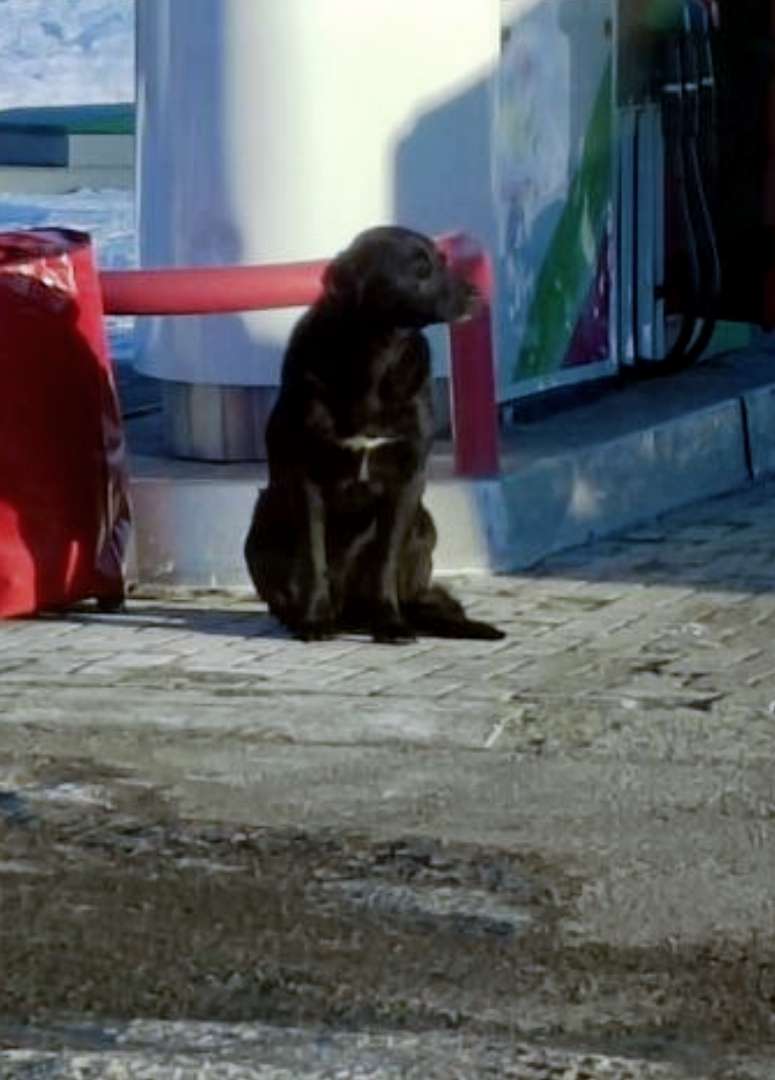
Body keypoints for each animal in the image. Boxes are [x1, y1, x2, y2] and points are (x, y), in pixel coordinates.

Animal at [244, 226, 504, 644]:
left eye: (442, 260)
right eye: (420, 269)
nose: (477, 295)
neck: (378, 356)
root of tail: (351, 612)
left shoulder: (407, 480)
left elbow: (386, 562)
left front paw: (390, 624)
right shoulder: (306, 477)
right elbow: (313, 557)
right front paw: (314, 620)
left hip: (424, 524)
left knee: (416, 596)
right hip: (262, 524)